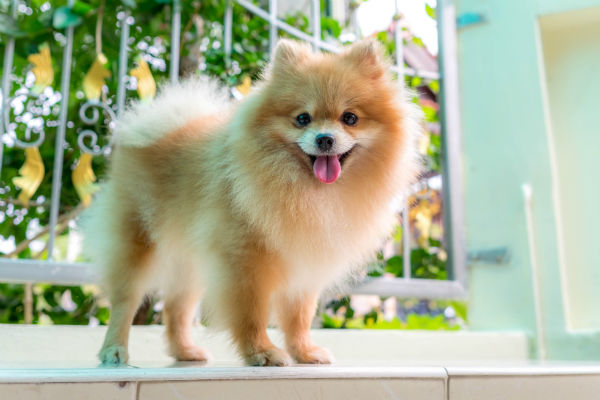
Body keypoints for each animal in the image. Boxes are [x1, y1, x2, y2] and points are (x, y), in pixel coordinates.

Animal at [84, 39, 422, 368]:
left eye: (350, 118)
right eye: (302, 119)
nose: (325, 138)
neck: (308, 192)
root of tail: (151, 128)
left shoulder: (304, 254)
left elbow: (299, 316)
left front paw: (304, 352)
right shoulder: (244, 260)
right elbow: (252, 314)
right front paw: (263, 353)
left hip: (190, 260)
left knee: (176, 307)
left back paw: (185, 352)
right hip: (137, 242)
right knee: (125, 301)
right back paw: (114, 349)